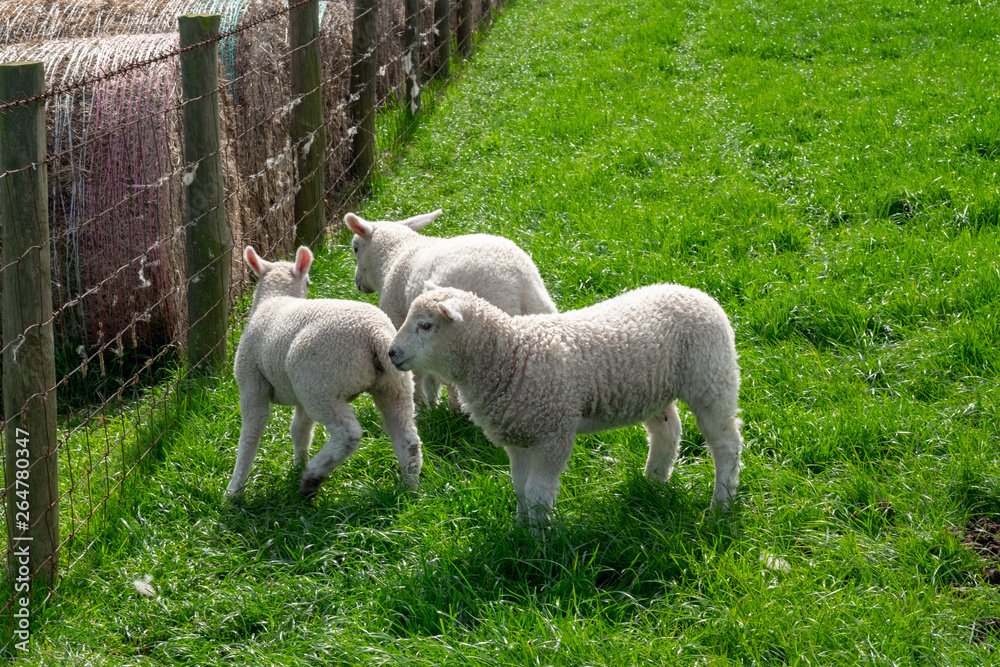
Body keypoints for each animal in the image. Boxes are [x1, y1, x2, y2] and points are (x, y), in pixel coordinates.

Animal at [227, 245, 422, 499]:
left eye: (308, 281)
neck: (274, 298)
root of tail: (374, 332)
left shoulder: (252, 381)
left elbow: (251, 433)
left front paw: (234, 490)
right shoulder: (298, 396)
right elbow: (299, 430)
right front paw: (298, 463)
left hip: (320, 384)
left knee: (348, 433)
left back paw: (313, 477)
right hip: (393, 383)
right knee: (408, 438)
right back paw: (410, 489)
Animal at [343, 210, 557, 409]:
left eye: (355, 248)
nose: (357, 284)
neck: (396, 254)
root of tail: (515, 285)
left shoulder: (405, 329)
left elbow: (417, 375)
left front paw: (422, 407)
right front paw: (432, 404)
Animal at [387, 284, 743, 527]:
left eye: (426, 325)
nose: (391, 353)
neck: (509, 354)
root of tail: (695, 292)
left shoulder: (553, 434)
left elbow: (537, 492)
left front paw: (540, 539)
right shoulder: (517, 438)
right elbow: (520, 488)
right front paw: (520, 530)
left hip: (711, 379)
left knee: (726, 444)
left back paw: (721, 503)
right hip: (653, 390)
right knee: (666, 432)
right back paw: (653, 482)